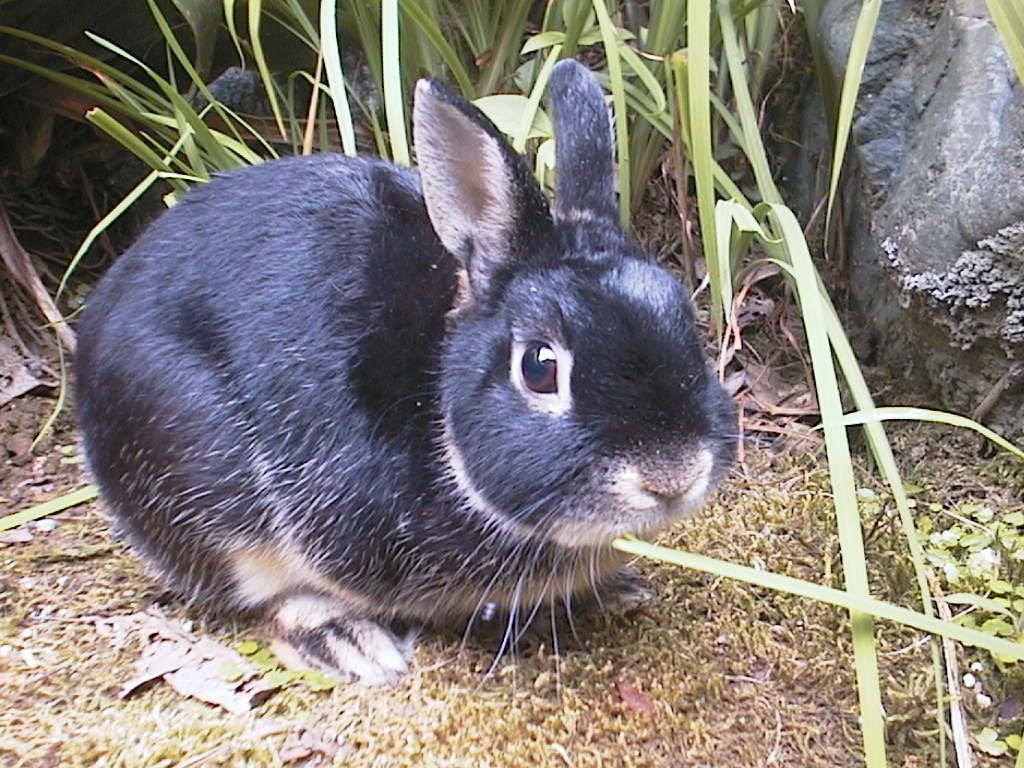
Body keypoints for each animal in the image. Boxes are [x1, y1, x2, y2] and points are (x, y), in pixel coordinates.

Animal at [74, 59, 737, 684]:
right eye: (539, 367)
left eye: (682, 316)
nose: (672, 475)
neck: (434, 406)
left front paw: (613, 589)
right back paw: (345, 640)